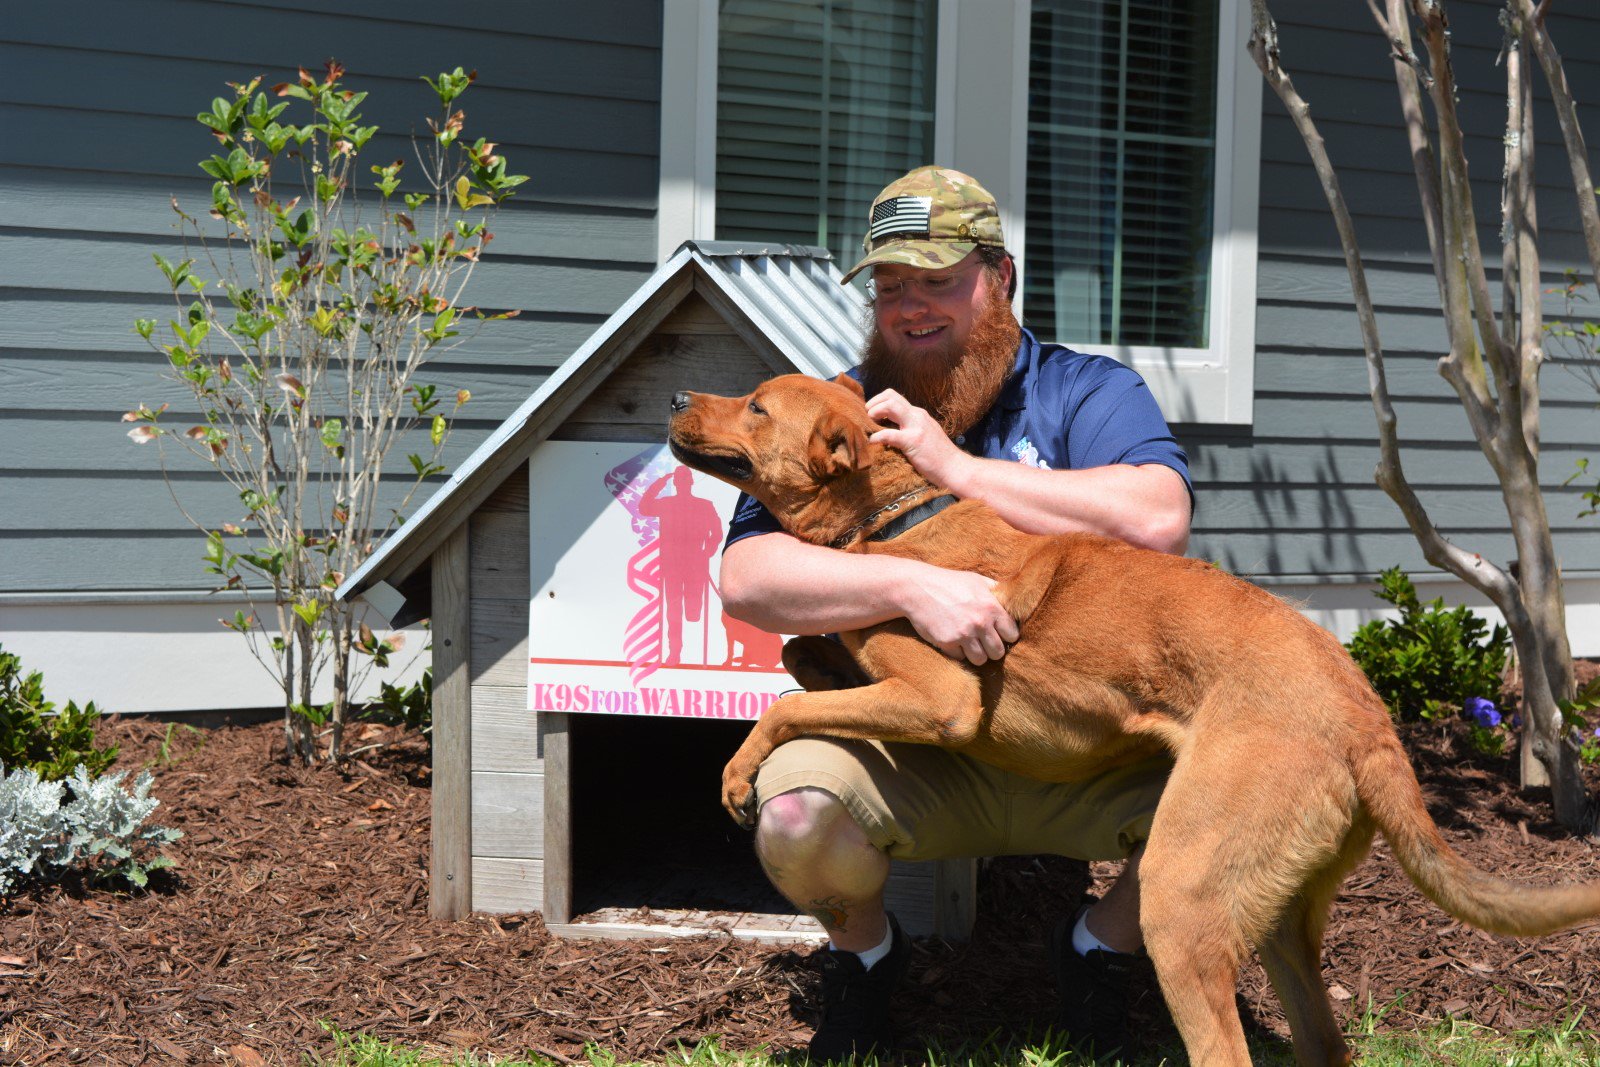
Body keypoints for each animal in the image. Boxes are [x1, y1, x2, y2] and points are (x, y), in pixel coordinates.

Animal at [668, 374, 1600, 1067]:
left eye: (756, 404)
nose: (677, 396)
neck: (891, 516)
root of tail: (1366, 713)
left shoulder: (940, 700)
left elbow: (791, 703)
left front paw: (738, 771)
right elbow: (803, 654)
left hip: (1184, 900)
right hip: (1279, 917)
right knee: (1325, 1044)